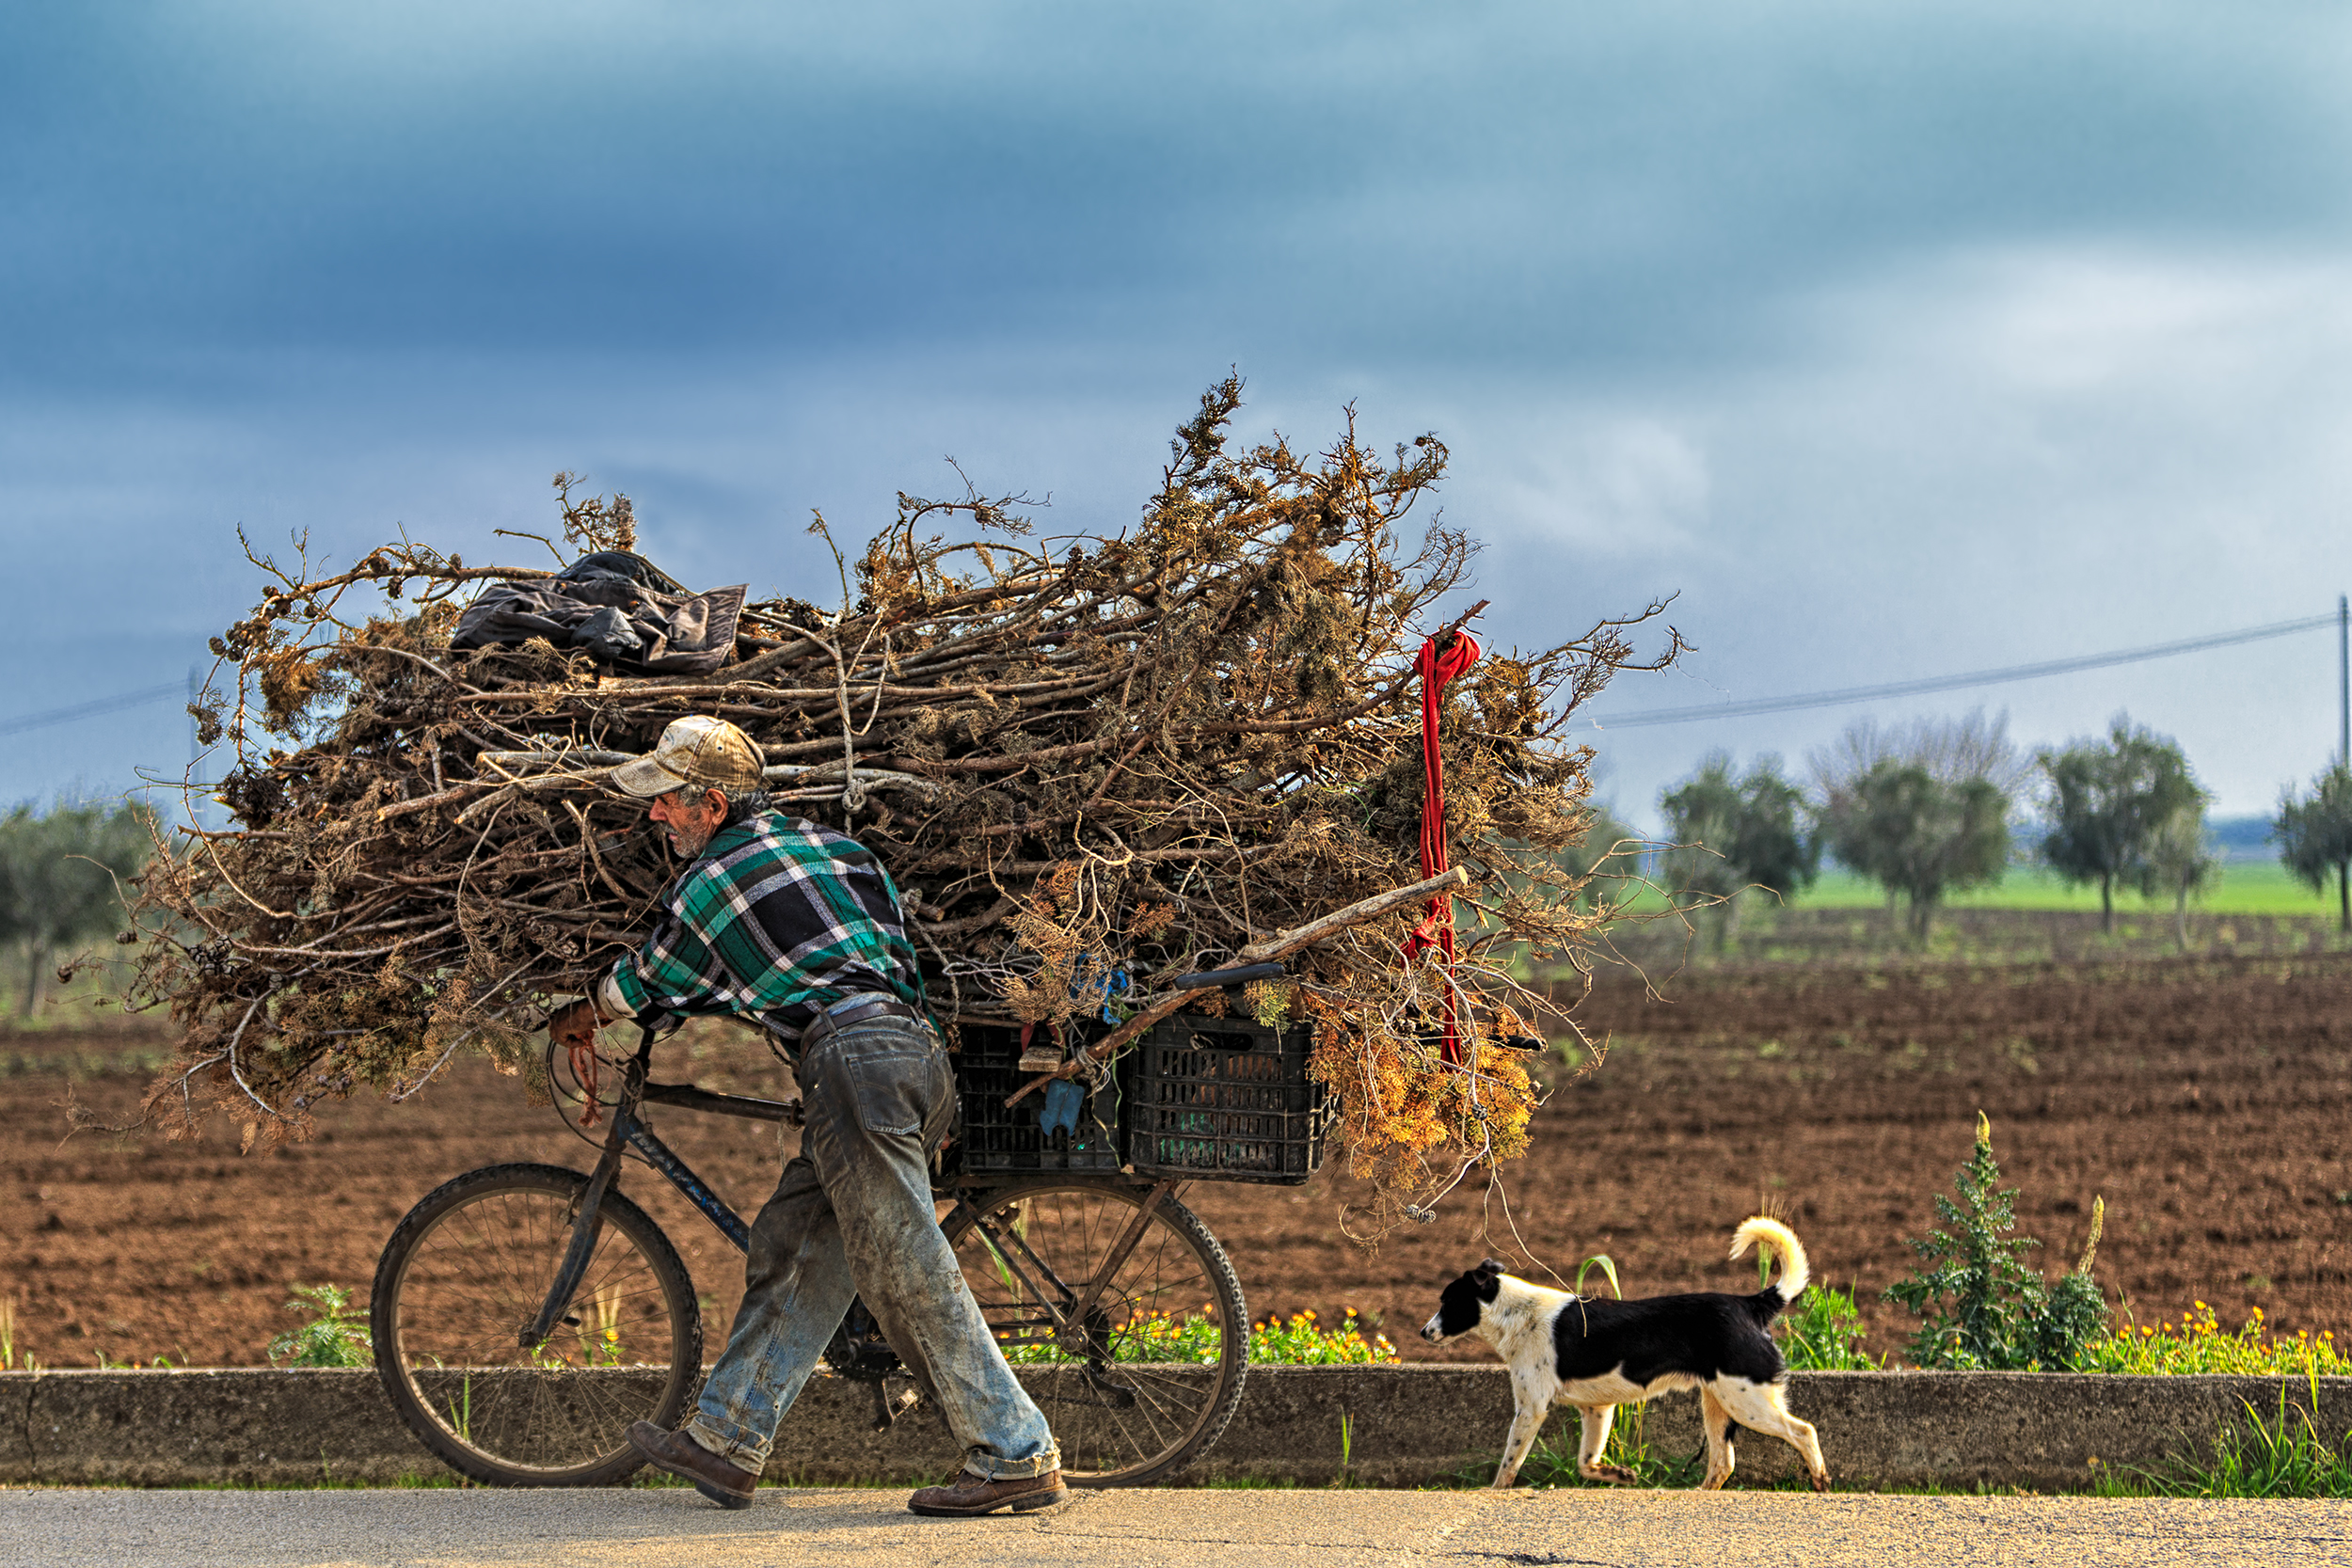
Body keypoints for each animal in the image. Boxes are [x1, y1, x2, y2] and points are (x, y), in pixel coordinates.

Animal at [1421, 1222, 1825, 1495]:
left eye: (1447, 1301)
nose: (1423, 1332)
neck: (1516, 1313)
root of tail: (1751, 1304)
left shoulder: (1531, 1407)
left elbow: (1509, 1463)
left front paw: (1495, 1492)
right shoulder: (1597, 1409)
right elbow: (1586, 1463)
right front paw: (1619, 1475)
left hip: (1748, 1401)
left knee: (1804, 1431)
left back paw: (1820, 1481)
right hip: (1718, 1402)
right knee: (1723, 1462)